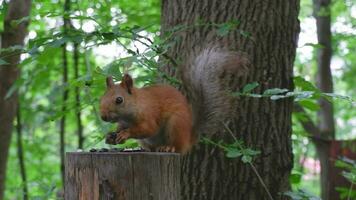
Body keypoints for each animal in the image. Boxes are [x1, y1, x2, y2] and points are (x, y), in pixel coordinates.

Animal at [98, 46, 249, 154]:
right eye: (102, 98)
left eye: (119, 100)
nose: (103, 117)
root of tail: (188, 138)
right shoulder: (123, 123)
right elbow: (119, 129)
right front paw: (110, 136)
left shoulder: (149, 115)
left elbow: (148, 128)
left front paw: (125, 134)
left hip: (176, 124)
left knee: (177, 147)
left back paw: (168, 148)